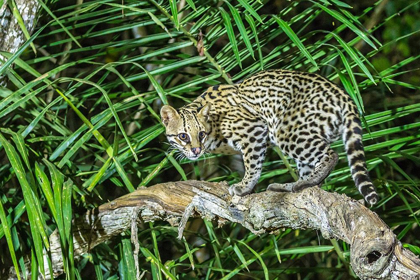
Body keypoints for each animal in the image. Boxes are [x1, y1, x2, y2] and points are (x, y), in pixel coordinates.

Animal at [159, 69, 378, 206]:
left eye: (201, 134)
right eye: (183, 136)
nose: (196, 150)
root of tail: (343, 94)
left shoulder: (253, 129)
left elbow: (252, 165)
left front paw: (244, 187)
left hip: (287, 131)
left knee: (331, 155)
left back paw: (304, 182)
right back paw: (291, 186)